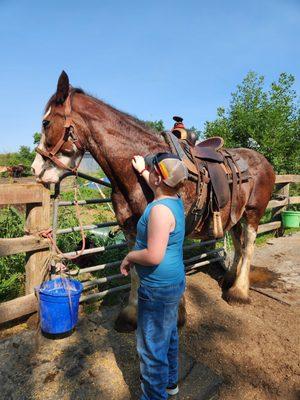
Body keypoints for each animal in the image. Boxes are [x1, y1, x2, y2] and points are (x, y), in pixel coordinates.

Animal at [31, 71, 276, 332]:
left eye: (46, 123)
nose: (35, 169)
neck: (138, 172)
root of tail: (264, 161)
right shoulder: (131, 229)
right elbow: (134, 271)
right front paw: (131, 314)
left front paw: (176, 316)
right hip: (237, 216)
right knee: (239, 246)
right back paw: (229, 280)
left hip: (253, 213)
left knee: (248, 248)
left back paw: (238, 292)